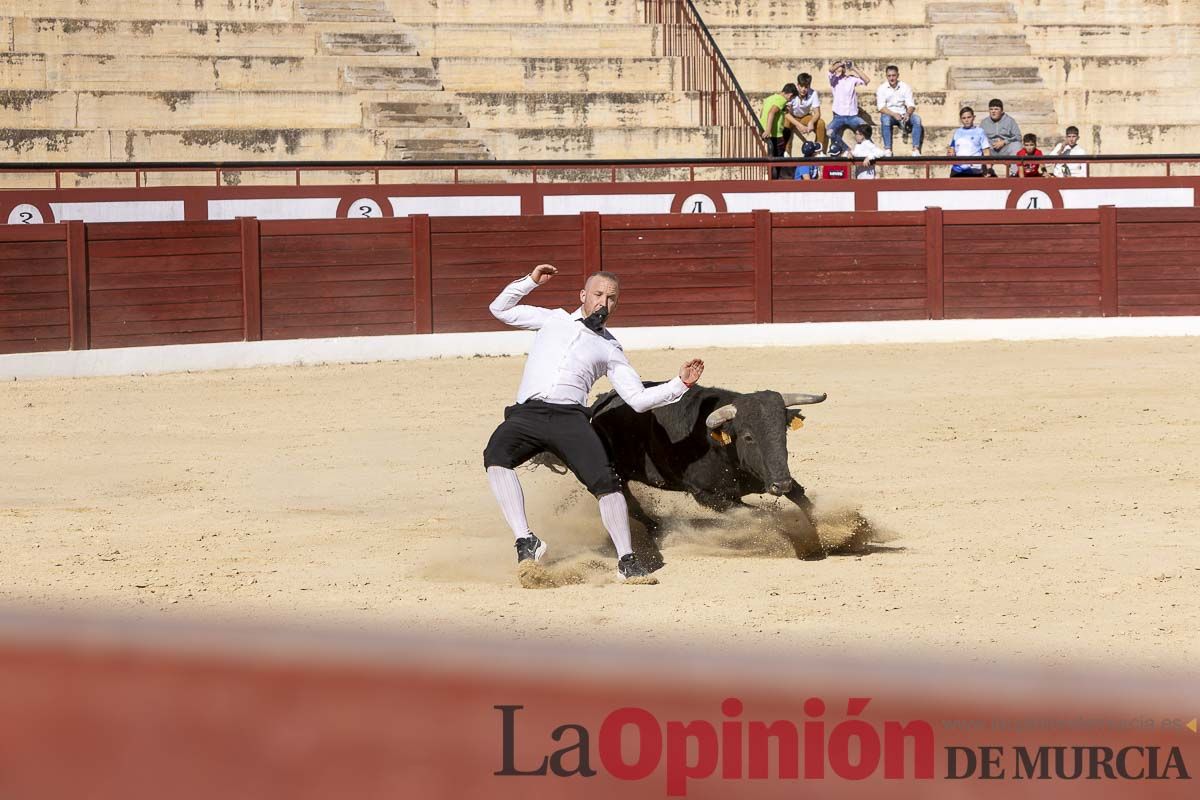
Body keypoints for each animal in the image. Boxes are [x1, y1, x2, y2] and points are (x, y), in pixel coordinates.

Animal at [585, 383, 830, 561]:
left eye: (783, 432)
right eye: (748, 436)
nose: (781, 485)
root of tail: (597, 405)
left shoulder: (764, 478)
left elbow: (801, 498)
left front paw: (826, 537)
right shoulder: (708, 495)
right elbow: (761, 515)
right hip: (615, 475)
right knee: (630, 503)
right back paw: (659, 533)